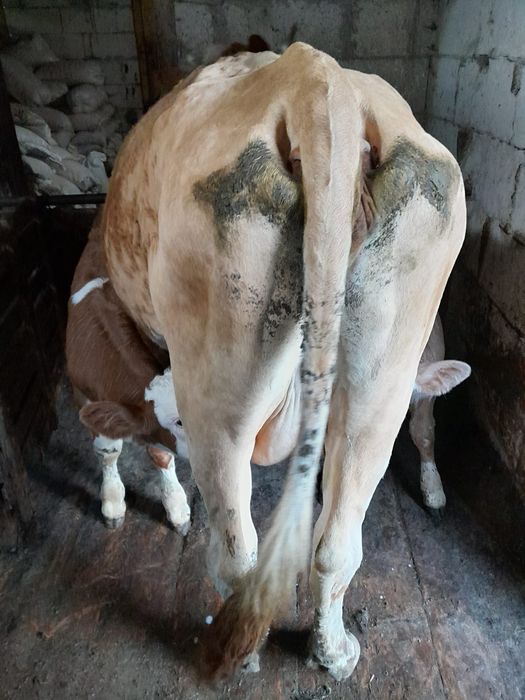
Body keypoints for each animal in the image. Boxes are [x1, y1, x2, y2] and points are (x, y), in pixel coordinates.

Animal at [65, 223, 191, 534]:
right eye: (180, 422)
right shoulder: (84, 397)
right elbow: (108, 450)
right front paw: (112, 501)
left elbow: (162, 455)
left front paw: (176, 505)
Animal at [98, 44, 467, 681]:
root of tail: (319, 82)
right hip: (382, 384)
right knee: (336, 543)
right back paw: (334, 652)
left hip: (218, 394)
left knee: (236, 547)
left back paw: (244, 654)